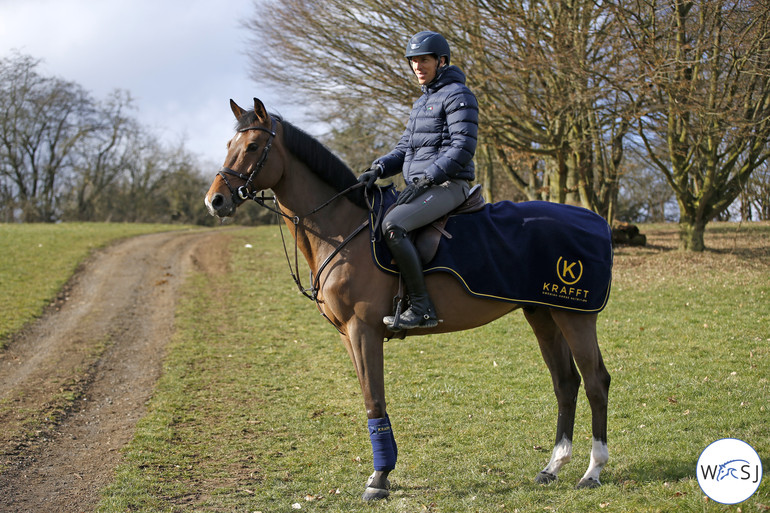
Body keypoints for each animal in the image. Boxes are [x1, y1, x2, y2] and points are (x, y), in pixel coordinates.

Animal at [206, 98, 612, 498]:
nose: (215, 200)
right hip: (543, 313)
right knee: (565, 383)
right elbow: (370, 397)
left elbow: (374, 399)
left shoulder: (363, 330)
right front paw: (381, 472)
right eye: (229, 145)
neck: (342, 228)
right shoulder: (348, 335)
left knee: (595, 382)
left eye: (253, 146)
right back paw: (553, 466)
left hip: (576, 316)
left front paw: (380, 478)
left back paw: (592, 471)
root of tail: (598, 222)